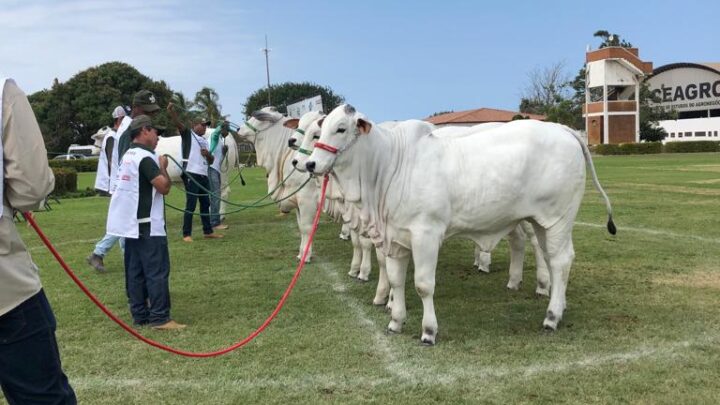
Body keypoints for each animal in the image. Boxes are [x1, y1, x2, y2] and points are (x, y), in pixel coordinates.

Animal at [236, 106, 320, 262]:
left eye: (257, 117)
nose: (238, 128)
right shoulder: (296, 200)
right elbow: (300, 227)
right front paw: (300, 254)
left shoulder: (307, 199)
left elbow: (307, 228)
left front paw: (306, 256)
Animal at [306, 104, 616, 344]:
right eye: (323, 128)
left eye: (341, 129)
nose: (310, 164)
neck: (390, 166)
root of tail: (564, 130)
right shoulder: (395, 237)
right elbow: (396, 280)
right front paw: (395, 321)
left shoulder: (426, 234)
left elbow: (423, 284)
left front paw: (428, 331)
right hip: (540, 222)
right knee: (552, 259)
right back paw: (556, 305)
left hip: (558, 219)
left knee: (561, 261)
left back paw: (551, 317)